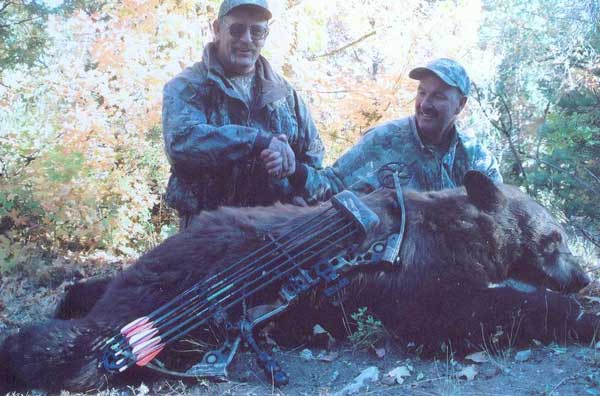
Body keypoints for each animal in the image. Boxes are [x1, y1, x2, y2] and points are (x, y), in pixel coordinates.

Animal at [0, 172, 592, 392]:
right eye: (554, 240)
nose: (585, 277)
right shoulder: (418, 282)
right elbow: (461, 315)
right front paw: (585, 317)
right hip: (165, 297)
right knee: (88, 345)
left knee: (91, 295)